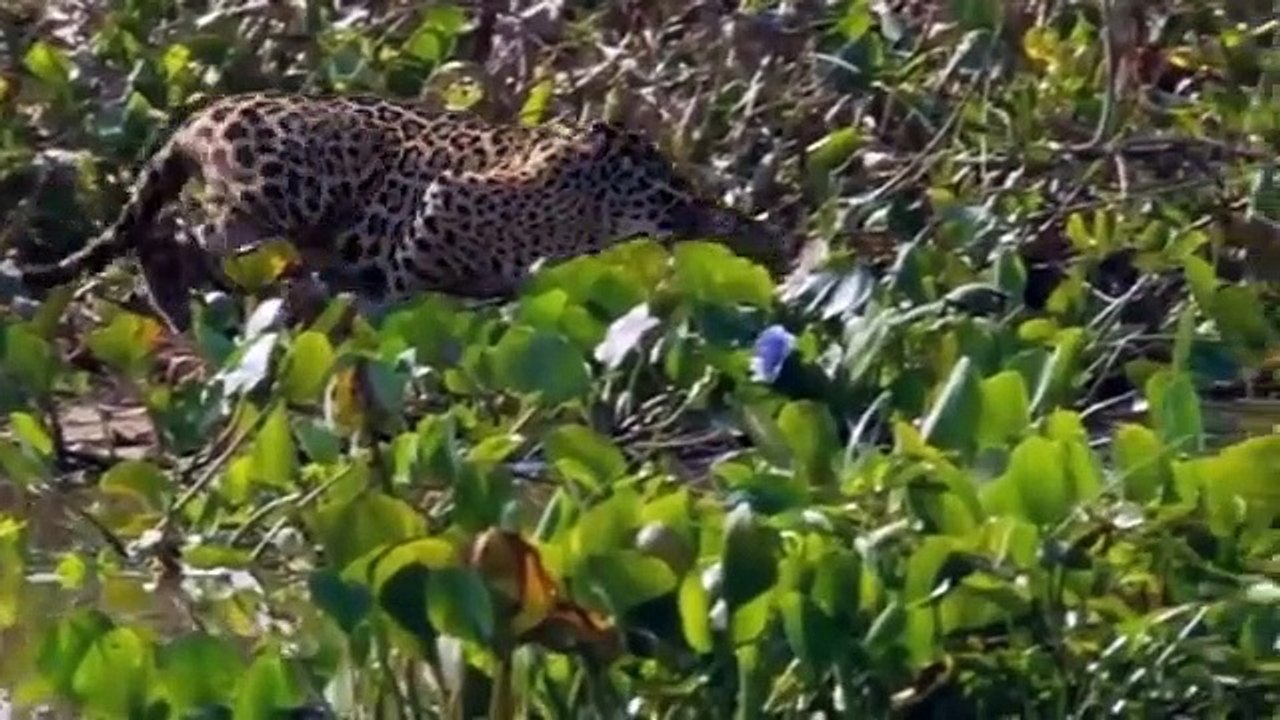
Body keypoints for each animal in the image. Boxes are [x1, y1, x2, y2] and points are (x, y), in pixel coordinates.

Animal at [17, 91, 788, 333]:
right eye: (669, 200)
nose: (771, 262)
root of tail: (206, 109)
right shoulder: (445, 202)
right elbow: (420, 270)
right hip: (288, 185)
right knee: (191, 231)